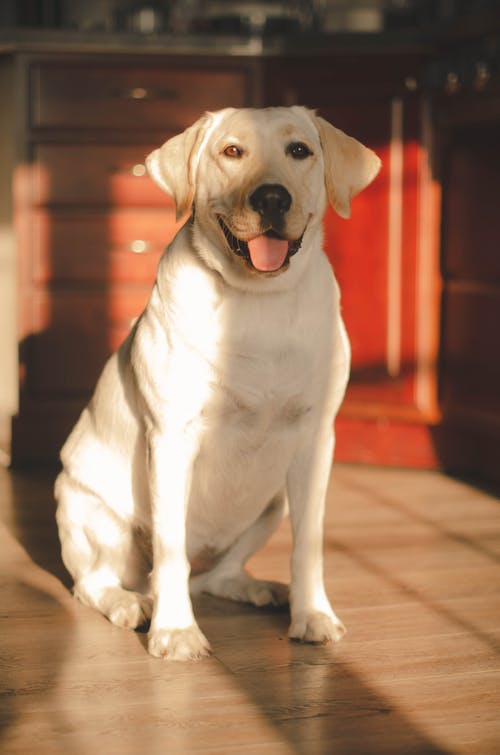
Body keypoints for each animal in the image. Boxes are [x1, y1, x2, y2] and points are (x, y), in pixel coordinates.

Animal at [53, 106, 378, 660]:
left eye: (299, 150)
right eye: (232, 151)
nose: (272, 197)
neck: (257, 299)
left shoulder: (316, 441)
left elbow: (308, 545)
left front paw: (312, 614)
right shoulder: (170, 439)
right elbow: (169, 551)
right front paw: (175, 631)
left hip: (272, 503)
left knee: (213, 577)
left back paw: (257, 588)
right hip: (91, 510)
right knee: (96, 583)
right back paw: (132, 604)